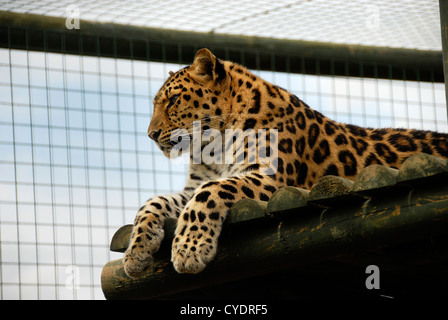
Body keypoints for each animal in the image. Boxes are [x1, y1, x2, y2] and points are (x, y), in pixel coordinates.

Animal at [124, 47, 448, 278]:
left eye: (173, 100)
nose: (151, 134)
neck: (212, 145)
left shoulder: (269, 179)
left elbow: (209, 193)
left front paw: (189, 250)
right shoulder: (193, 187)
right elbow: (153, 202)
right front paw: (136, 253)